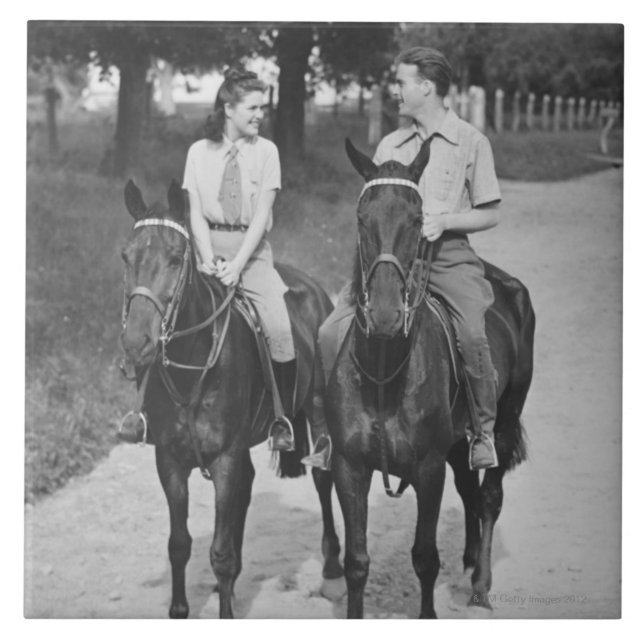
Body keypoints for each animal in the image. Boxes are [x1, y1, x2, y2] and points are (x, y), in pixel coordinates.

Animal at [119, 180, 344, 618]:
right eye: (126, 256)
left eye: (176, 259)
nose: (137, 343)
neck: (193, 366)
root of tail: (314, 289)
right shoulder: (170, 462)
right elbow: (179, 546)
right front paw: (181, 609)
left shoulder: (224, 460)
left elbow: (219, 553)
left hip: (315, 412)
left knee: (323, 478)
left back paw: (332, 570)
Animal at [325, 139, 535, 618]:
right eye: (361, 217)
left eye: (418, 219)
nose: (385, 314)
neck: (385, 372)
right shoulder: (350, 467)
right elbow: (357, 562)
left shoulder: (428, 469)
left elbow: (424, 557)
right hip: (459, 442)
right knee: (470, 489)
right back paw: (471, 559)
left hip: (505, 420)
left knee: (489, 497)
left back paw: (481, 584)